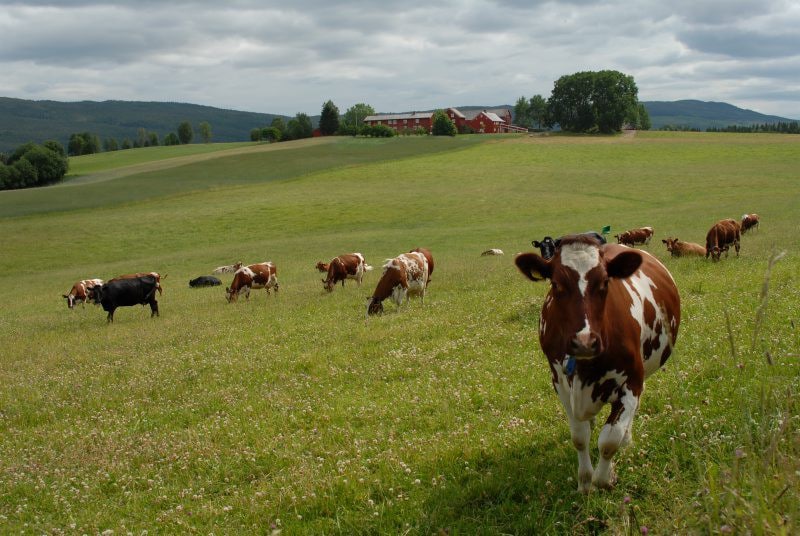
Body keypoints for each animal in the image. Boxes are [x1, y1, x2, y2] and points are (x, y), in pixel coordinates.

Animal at [512, 237, 680, 492]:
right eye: (556, 284)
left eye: (604, 282)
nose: (584, 341)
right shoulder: (561, 384)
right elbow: (580, 437)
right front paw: (584, 481)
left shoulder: (632, 381)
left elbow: (610, 439)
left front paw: (604, 478)